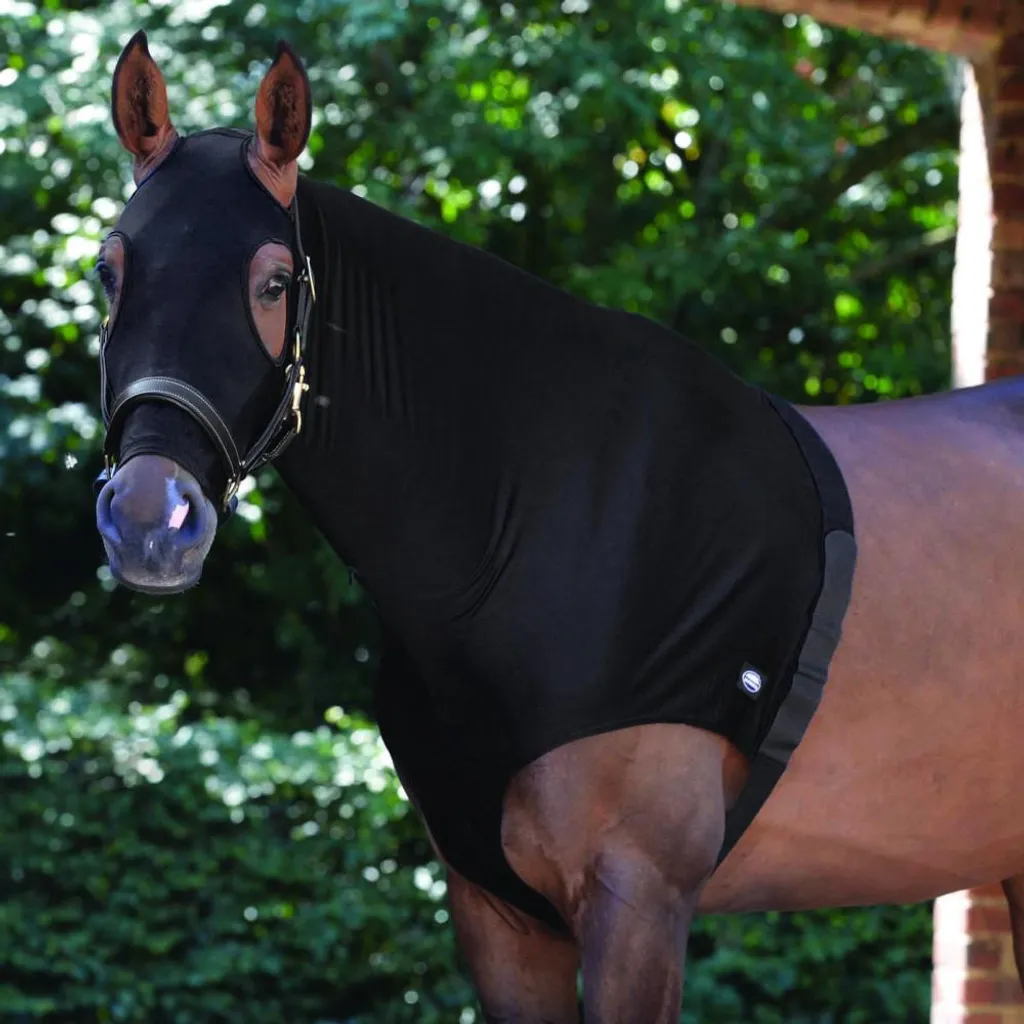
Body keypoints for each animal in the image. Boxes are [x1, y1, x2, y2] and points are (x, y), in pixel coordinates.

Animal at [91, 31, 1024, 1022]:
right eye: (109, 271)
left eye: (273, 282)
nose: (150, 520)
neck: (533, 520)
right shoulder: (498, 912)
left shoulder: (638, 897)